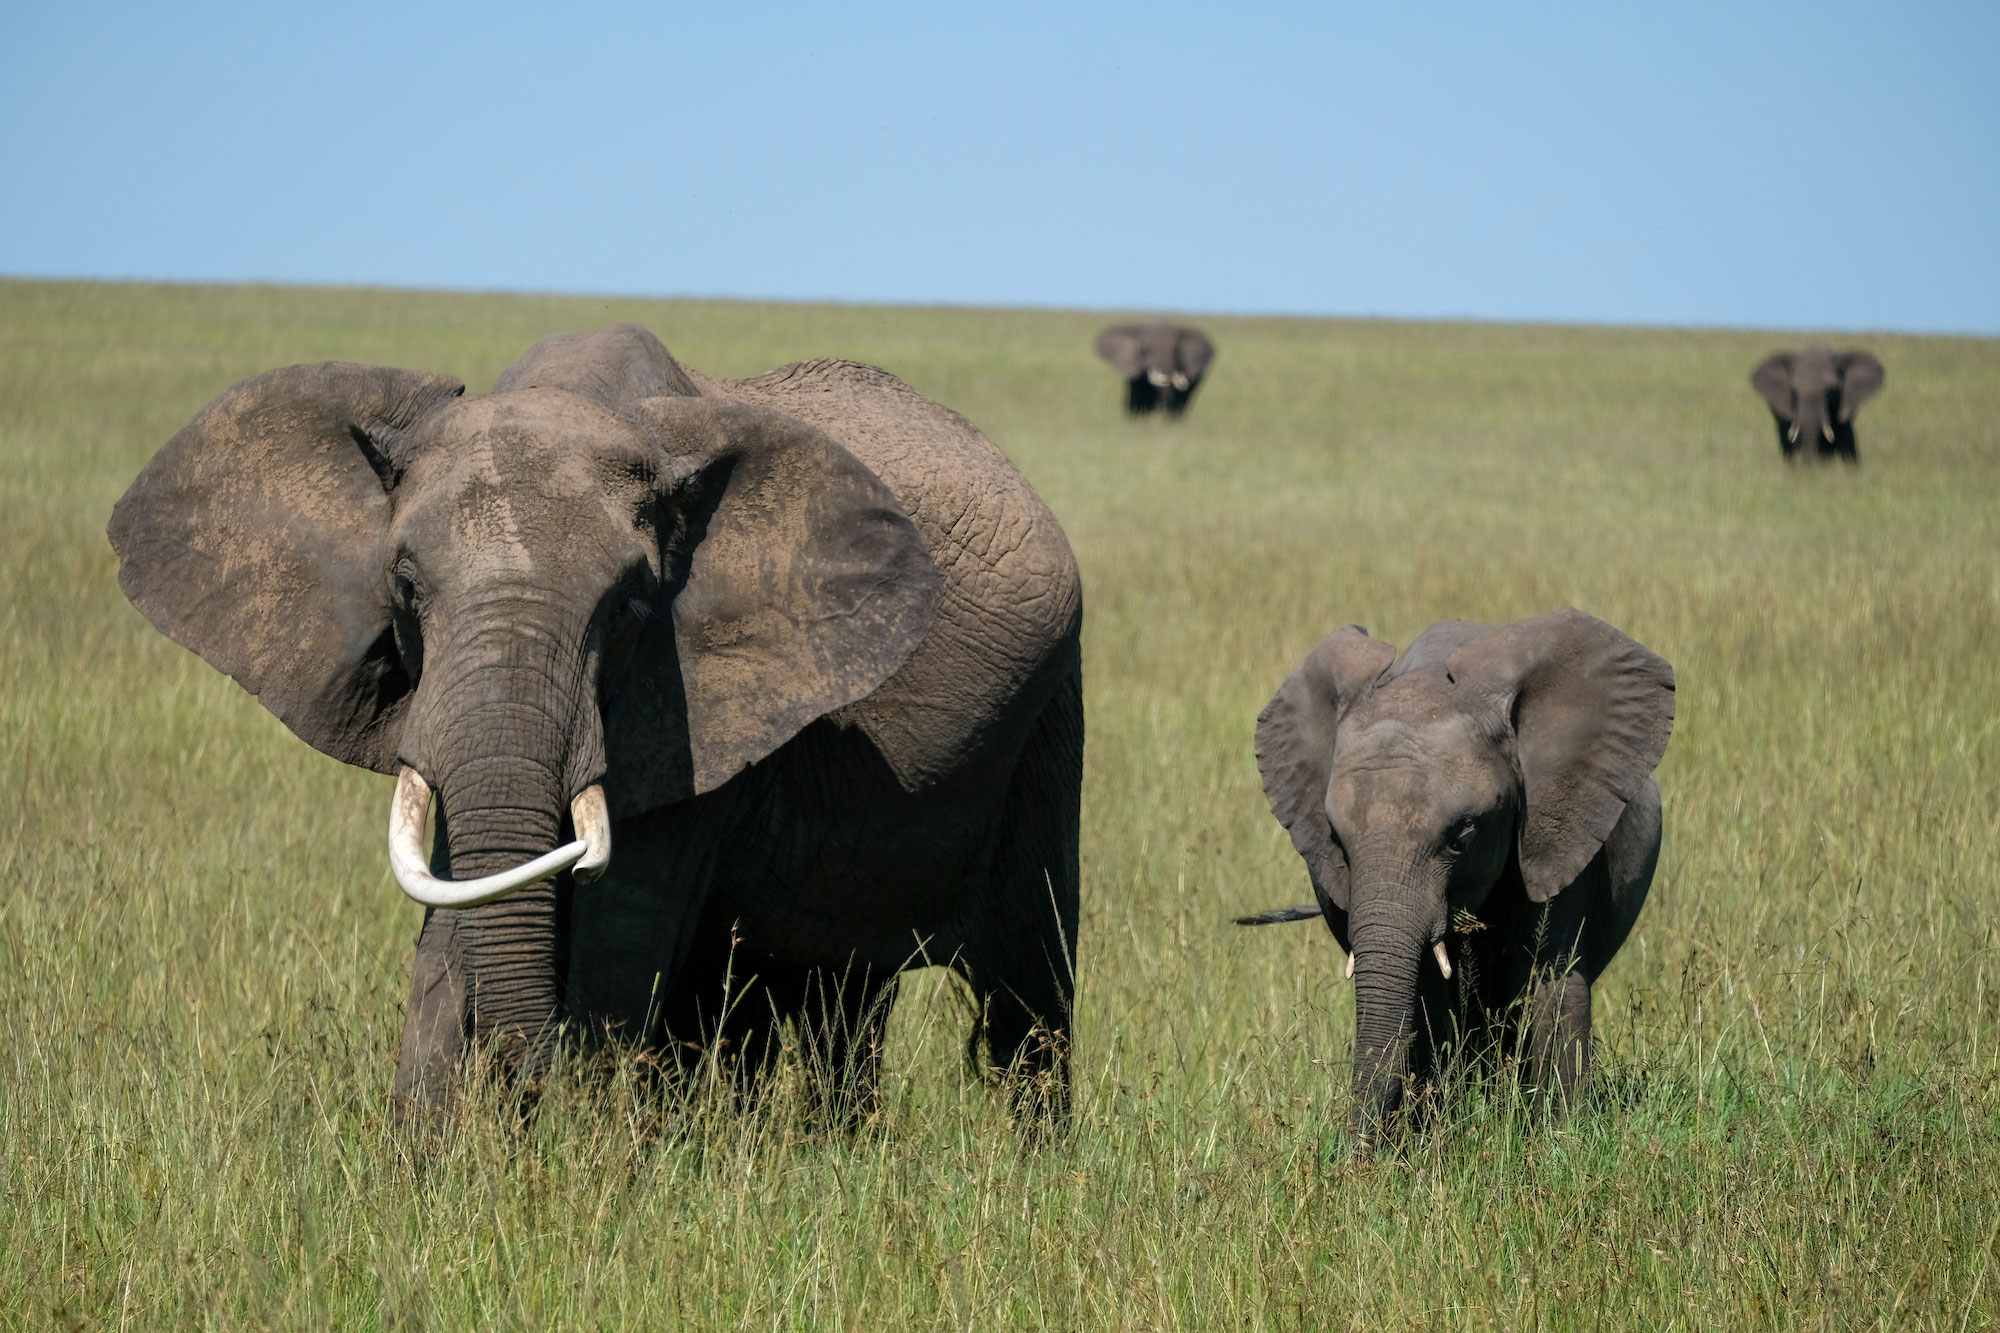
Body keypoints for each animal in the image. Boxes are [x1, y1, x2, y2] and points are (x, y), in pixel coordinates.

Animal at [108, 322, 1084, 1124]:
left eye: (627, 605)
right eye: (405, 586)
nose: (523, 1079)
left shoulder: (689, 709)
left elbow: (624, 934)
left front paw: (588, 1160)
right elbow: (461, 905)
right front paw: (427, 1172)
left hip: (1050, 713)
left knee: (1026, 996)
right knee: (838, 998)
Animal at [1237, 608, 1673, 1147]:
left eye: (1462, 836)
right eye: (1337, 839)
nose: (1350, 1153)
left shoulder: (1558, 826)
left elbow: (1550, 978)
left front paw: (1560, 1142)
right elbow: (1427, 994)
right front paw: (1432, 1132)